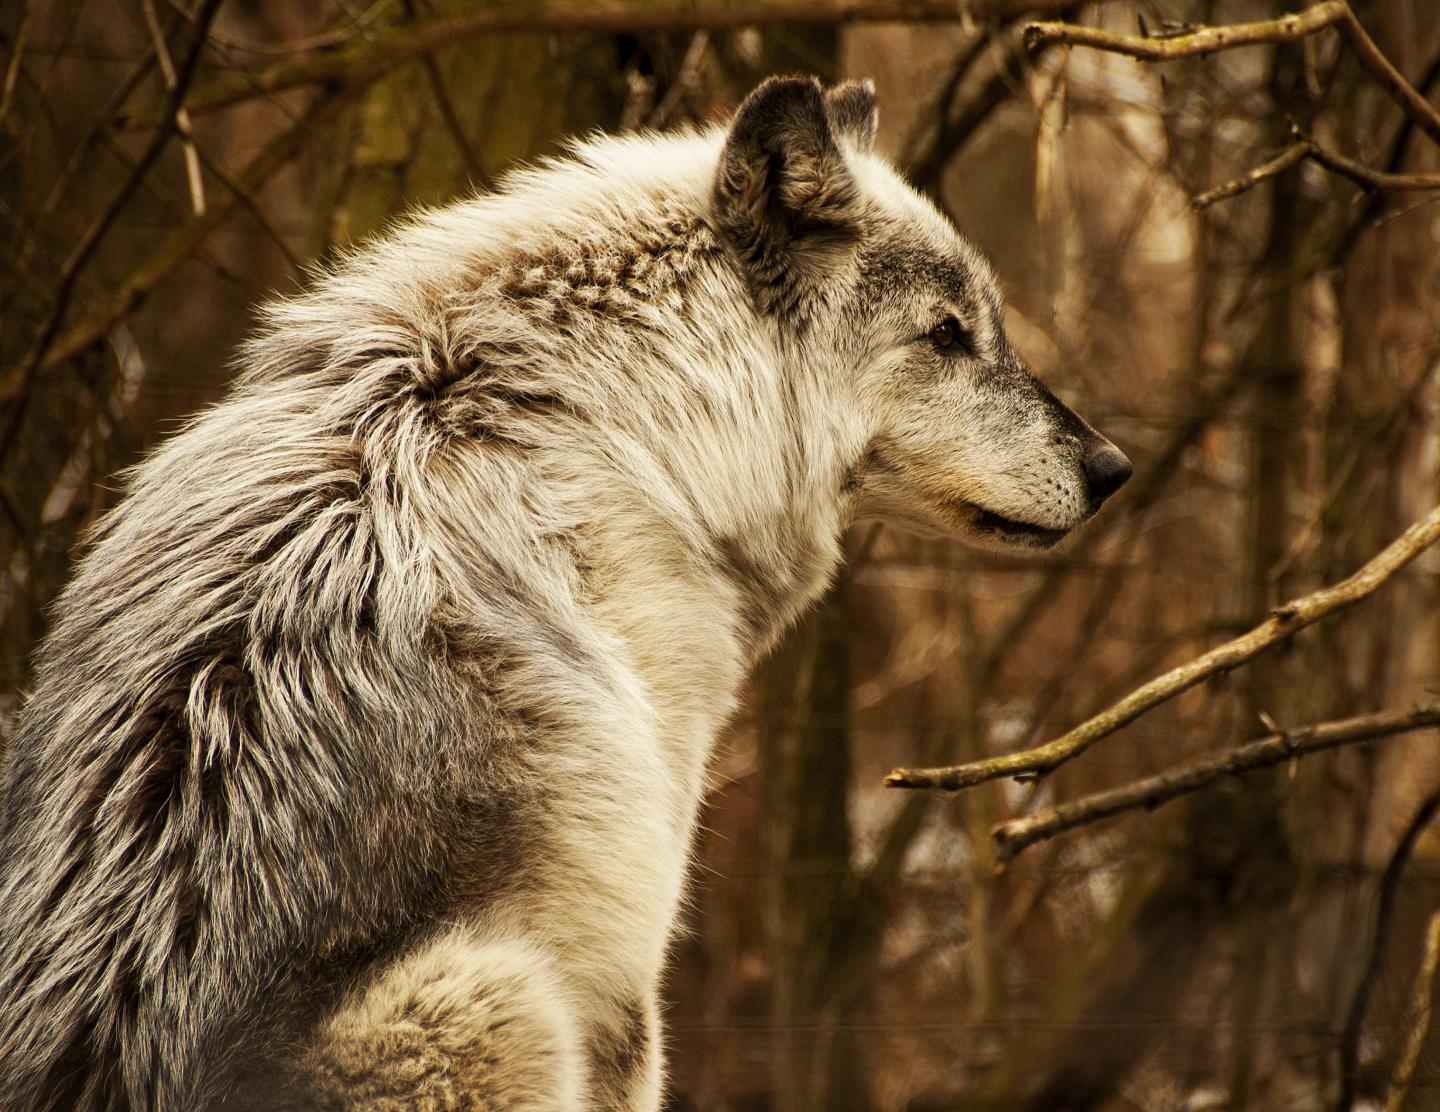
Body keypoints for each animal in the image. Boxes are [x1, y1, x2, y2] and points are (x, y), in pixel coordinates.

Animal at [0, 73, 1128, 1106]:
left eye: (985, 326)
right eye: (947, 334)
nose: (1113, 467)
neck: (613, 423)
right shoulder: (630, 964)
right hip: (499, 1001)